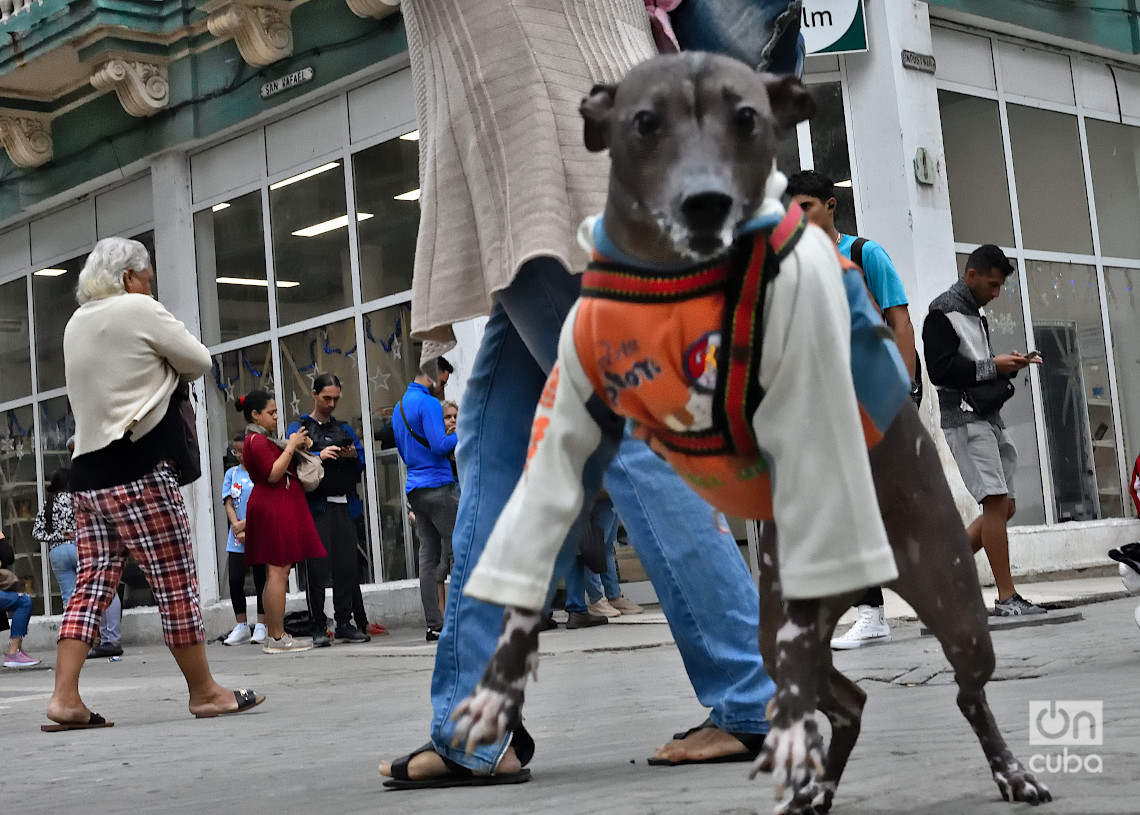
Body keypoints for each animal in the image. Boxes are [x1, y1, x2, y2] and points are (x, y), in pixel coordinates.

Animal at [444, 52, 1048, 815]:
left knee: (968, 692)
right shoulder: (569, 438)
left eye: (748, 118)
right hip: (777, 628)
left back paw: (1009, 772)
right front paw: (496, 687)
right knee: (848, 702)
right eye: (645, 121)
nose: (707, 201)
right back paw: (813, 785)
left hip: (953, 607)